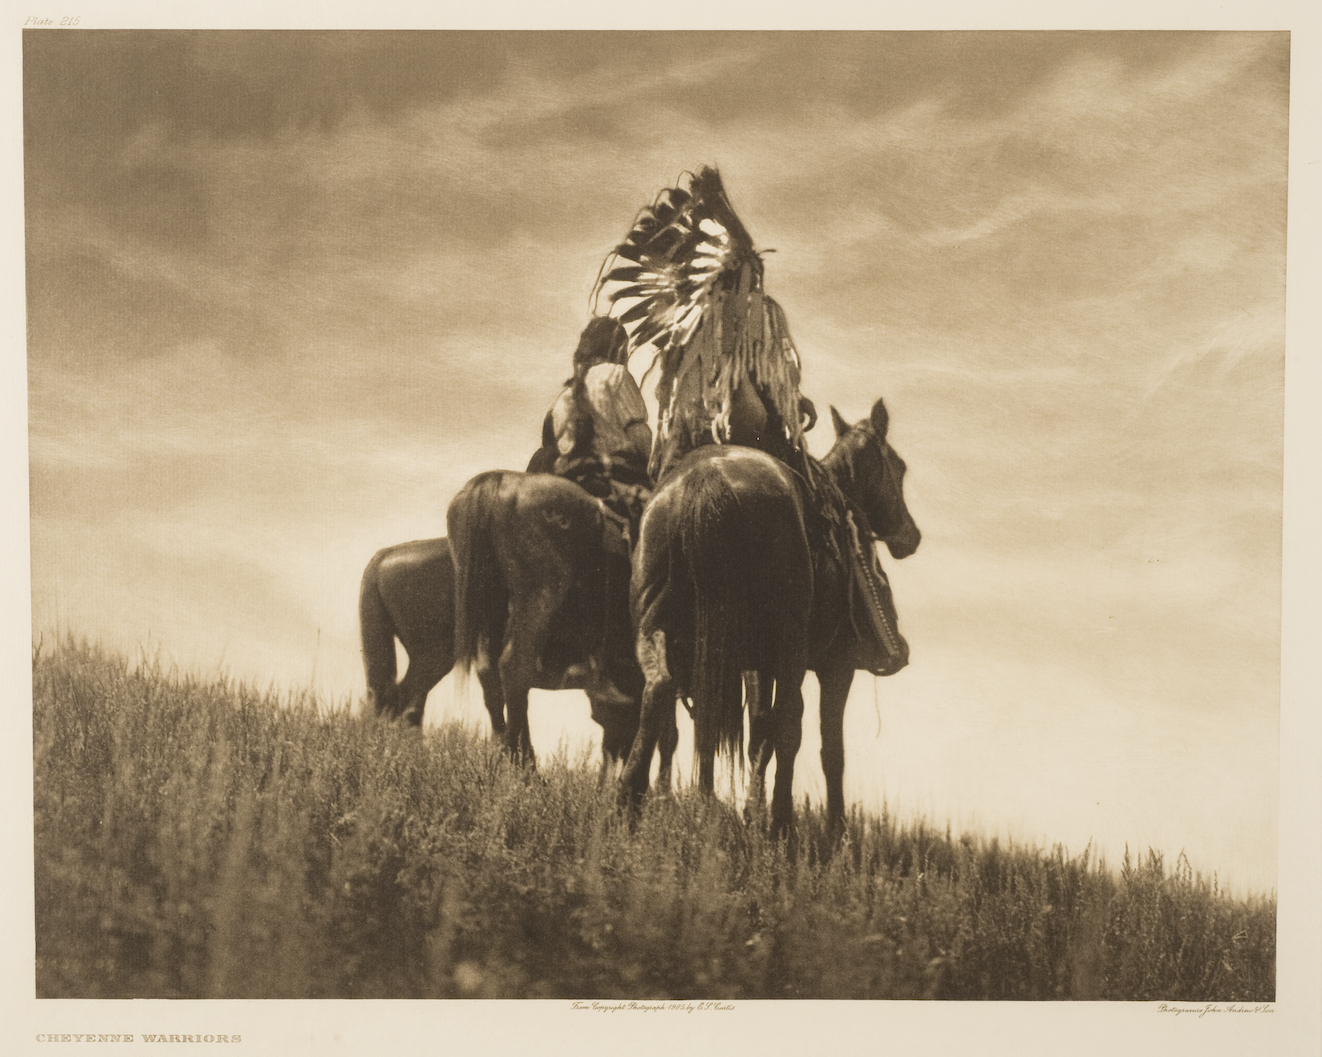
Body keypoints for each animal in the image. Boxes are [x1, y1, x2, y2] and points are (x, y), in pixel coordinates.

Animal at [449, 473, 682, 782]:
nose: (615, 764)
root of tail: (498, 480)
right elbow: (668, 733)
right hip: (539, 600)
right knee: (514, 668)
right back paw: (525, 769)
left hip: (490, 607)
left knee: (491, 674)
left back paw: (504, 757)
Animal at [618, 396, 920, 840]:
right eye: (897, 467)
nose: (910, 536)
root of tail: (704, 478)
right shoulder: (836, 665)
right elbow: (827, 747)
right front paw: (833, 829)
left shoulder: (755, 665)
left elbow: (759, 733)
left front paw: (751, 812)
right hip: (786, 643)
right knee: (789, 722)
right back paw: (780, 822)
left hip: (655, 627)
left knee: (659, 690)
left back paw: (629, 799)